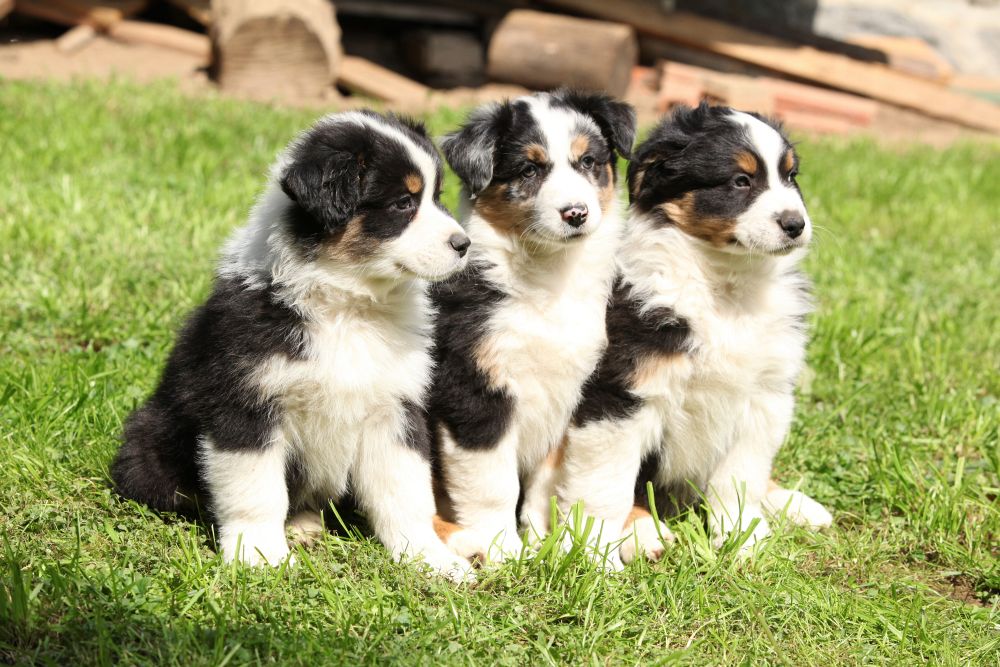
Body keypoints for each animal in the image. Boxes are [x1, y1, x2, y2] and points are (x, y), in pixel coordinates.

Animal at [111, 109, 478, 580]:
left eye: (437, 196)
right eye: (403, 203)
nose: (464, 244)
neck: (348, 305)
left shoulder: (394, 408)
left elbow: (406, 495)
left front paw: (429, 558)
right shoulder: (246, 405)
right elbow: (257, 491)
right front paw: (259, 554)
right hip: (148, 441)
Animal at [428, 87, 632, 560]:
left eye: (588, 161)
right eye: (529, 169)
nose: (575, 213)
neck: (548, 276)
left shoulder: (571, 393)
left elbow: (547, 482)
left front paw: (544, 542)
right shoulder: (475, 389)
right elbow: (492, 485)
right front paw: (504, 551)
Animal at [556, 104, 828, 568]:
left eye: (790, 176)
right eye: (740, 181)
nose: (796, 224)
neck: (725, 284)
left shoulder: (764, 398)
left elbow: (740, 478)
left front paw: (742, 539)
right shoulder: (621, 397)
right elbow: (605, 487)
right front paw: (592, 556)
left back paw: (796, 504)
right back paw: (645, 533)